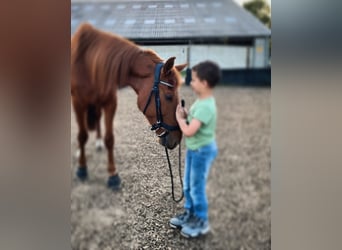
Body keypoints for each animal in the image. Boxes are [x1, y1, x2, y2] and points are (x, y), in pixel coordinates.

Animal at [70, 23, 186, 191]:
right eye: (169, 96)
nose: (177, 139)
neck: (90, 64)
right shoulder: (78, 102)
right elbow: (82, 135)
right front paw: (82, 169)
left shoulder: (110, 102)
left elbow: (109, 139)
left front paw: (113, 176)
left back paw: (98, 143)